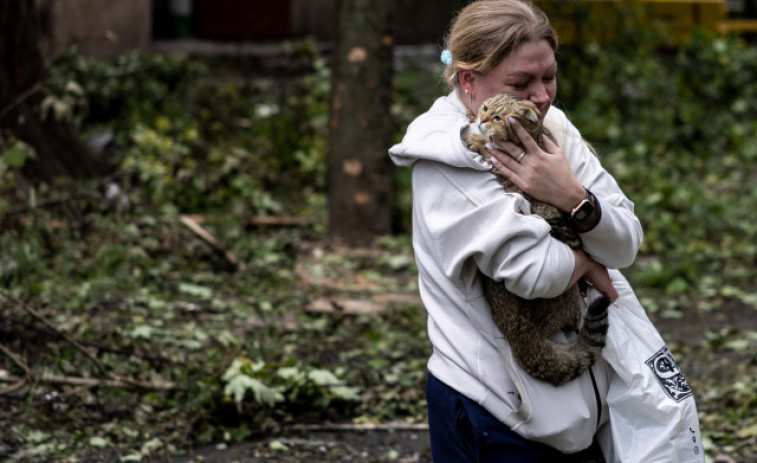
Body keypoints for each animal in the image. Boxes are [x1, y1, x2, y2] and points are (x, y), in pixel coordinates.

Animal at [464, 93, 612, 388]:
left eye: (498, 117)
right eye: (485, 107)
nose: (481, 119)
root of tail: (519, 337)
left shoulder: (511, 173)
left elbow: (491, 152)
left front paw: (478, 140)